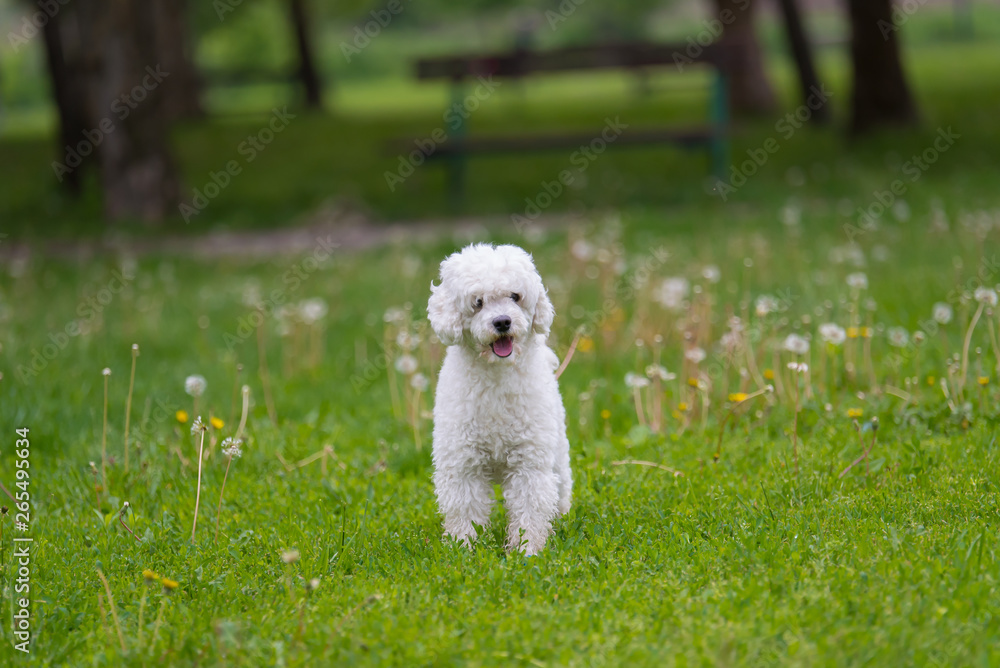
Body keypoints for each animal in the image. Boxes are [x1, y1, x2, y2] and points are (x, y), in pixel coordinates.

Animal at [428, 243, 576, 556]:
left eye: (515, 297)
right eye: (478, 302)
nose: (502, 321)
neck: (496, 374)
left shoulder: (529, 463)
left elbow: (530, 507)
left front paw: (527, 550)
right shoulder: (463, 464)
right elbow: (465, 508)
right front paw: (463, 548)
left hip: (557, 454)